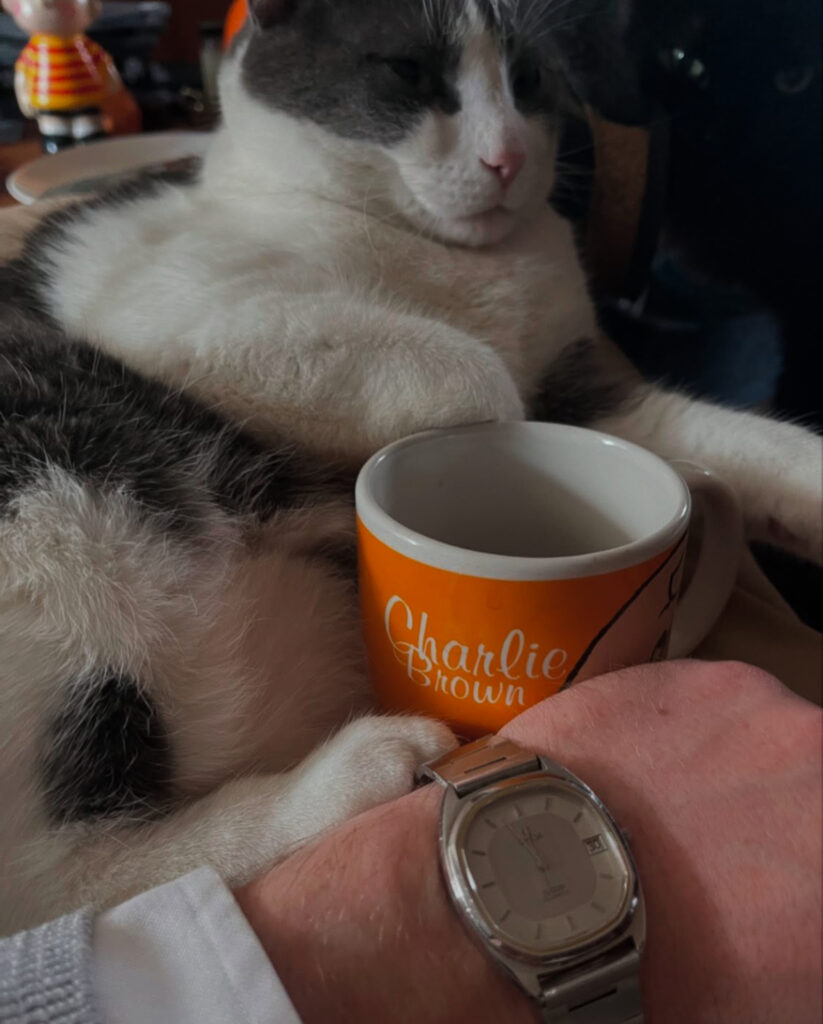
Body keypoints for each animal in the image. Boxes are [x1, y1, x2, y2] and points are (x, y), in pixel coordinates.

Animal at [1, 0, 823, 933]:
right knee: (59, 885)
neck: (464, 266)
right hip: (71, 479)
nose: (506, 157)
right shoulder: (173, 307)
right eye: (407, 72)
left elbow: (753, 446)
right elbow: (477, 377)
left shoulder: (594, 393)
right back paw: (356, 771)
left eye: (528, 80)